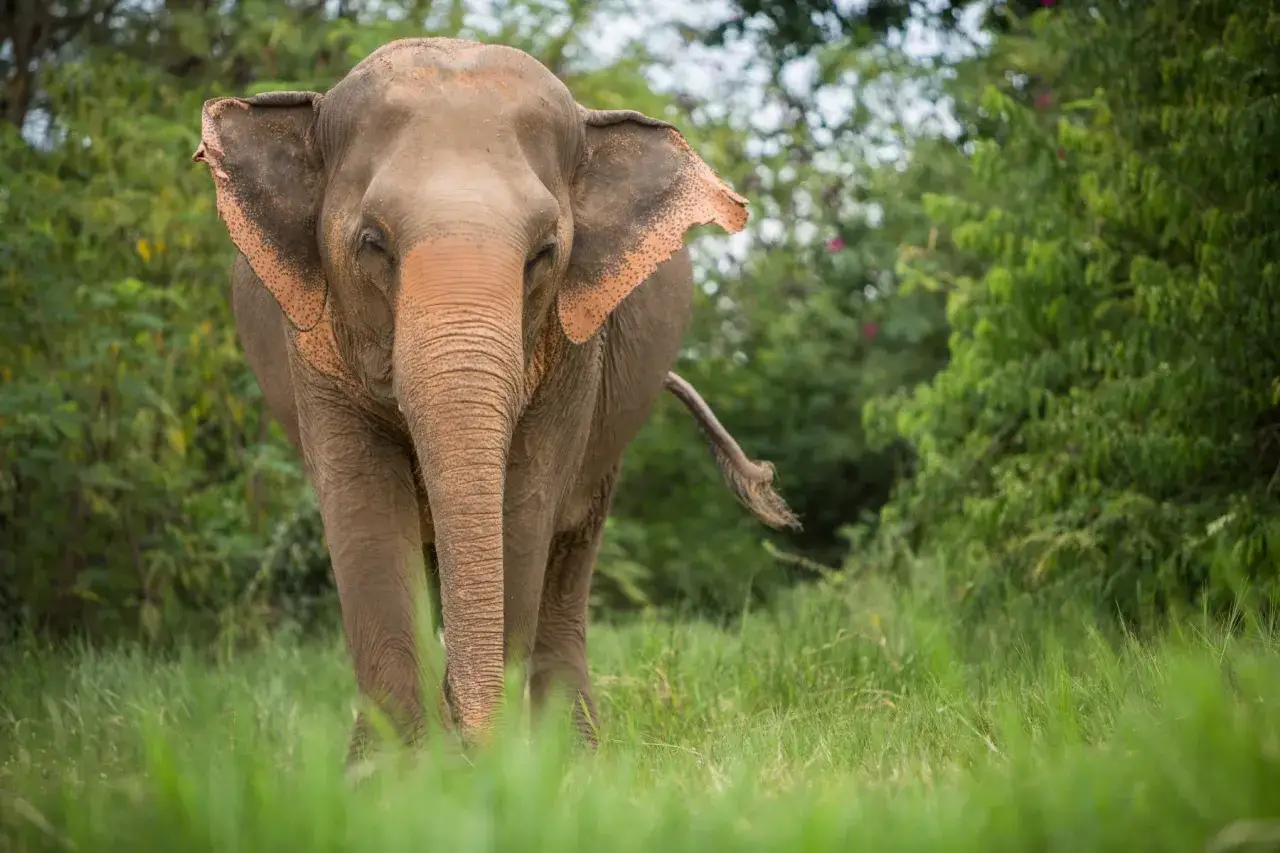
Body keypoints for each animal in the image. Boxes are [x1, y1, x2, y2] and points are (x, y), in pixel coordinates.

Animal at [193, 36, 798, 759]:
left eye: (544, 252)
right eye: (372, 244)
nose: (472, 741)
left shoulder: (576, 347)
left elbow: (527, 503)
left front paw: (505, 762)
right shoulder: (310, 339)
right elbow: (363, 509)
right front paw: (389, 772)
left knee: (572, 548)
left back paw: (582, 752)